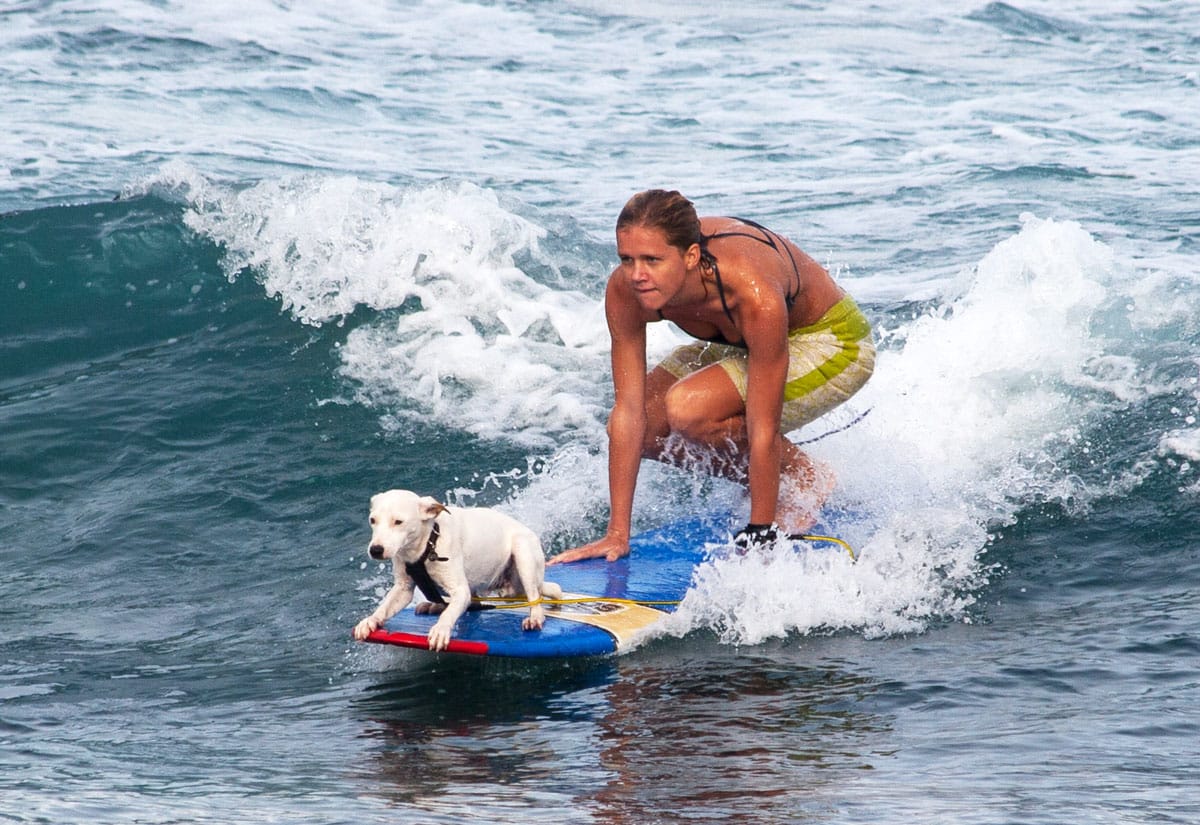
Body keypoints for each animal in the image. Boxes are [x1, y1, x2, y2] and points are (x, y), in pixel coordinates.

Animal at [350, 489, 561, 652]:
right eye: (372, 520)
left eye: (398, 521)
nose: (375, 550)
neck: (427, 546)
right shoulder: (403, 588)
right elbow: (384, 607)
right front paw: (370, 621)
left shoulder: (461, 590)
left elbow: (450, 613)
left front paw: (440, 630)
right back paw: (433, 606)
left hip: (523, 556)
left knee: (535, 595)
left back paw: (535, 617)